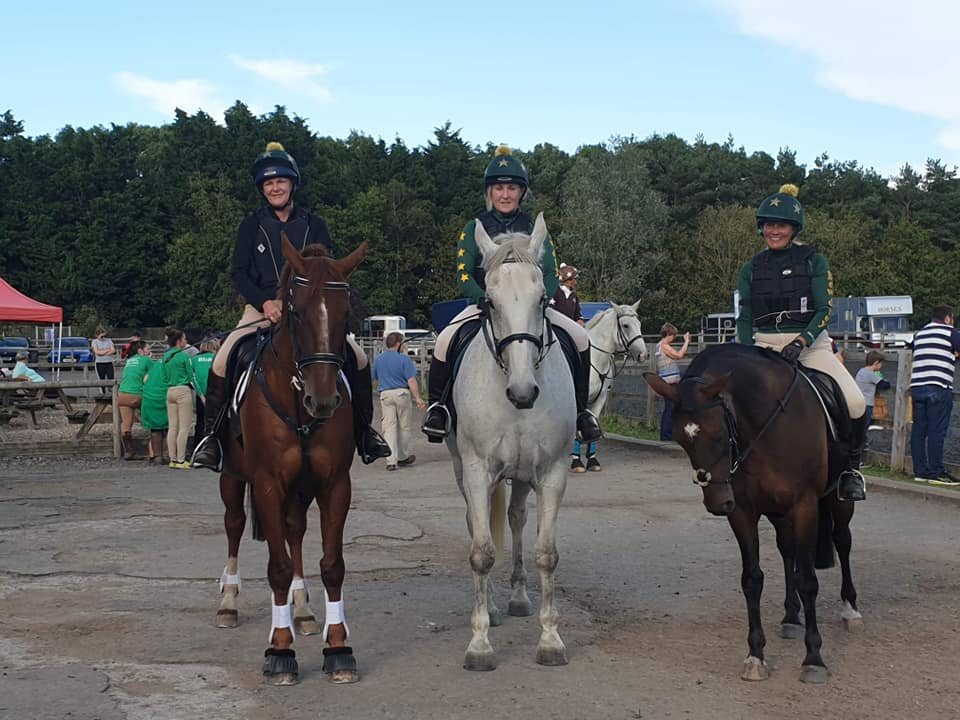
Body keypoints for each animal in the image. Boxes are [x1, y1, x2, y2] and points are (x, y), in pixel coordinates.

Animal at [217, 235, 367, 686]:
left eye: (345, 312)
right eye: (296, 311)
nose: (324, 401)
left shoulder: (335, 483)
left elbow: (331, 564)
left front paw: (338, 647)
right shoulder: (266, 482)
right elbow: (277, 567)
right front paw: (280, 652)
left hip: (301, 488)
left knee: (295, 530)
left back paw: (301, 610)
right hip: (232, 478)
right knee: (234, 524)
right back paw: (229, 602)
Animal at [445, 213, 577, 670]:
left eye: (542, 299)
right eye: (490, 301)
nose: (523, 392)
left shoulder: (553, 472)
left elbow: (546, 554)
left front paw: (551, 640)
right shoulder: (476, 471)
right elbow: (482, 551)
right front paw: (480, 644)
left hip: (521, 474)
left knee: (517, 519)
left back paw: (518, 597)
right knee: (478, 524)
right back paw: (493, 608)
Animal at [571, 302, 647, 472]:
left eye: (639, 324)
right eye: (625, 325)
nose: (643, 355)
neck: (594, 360)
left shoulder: (600, 398)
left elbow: (593, 422)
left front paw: (592, 460)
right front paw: (576, 462)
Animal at [644, 343, 862, 684]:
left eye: (719, 433)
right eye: (681, 439)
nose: (717, 503)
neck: (762, 423)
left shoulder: (804, 506)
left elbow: (809, 581)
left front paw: (814, 658)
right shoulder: (743, 512)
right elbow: (752, 579)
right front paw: (756, 655)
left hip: (838, 502)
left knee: (842, 541)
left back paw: (850, 609)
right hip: (777, 511)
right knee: (788, 550)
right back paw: (790, 616)